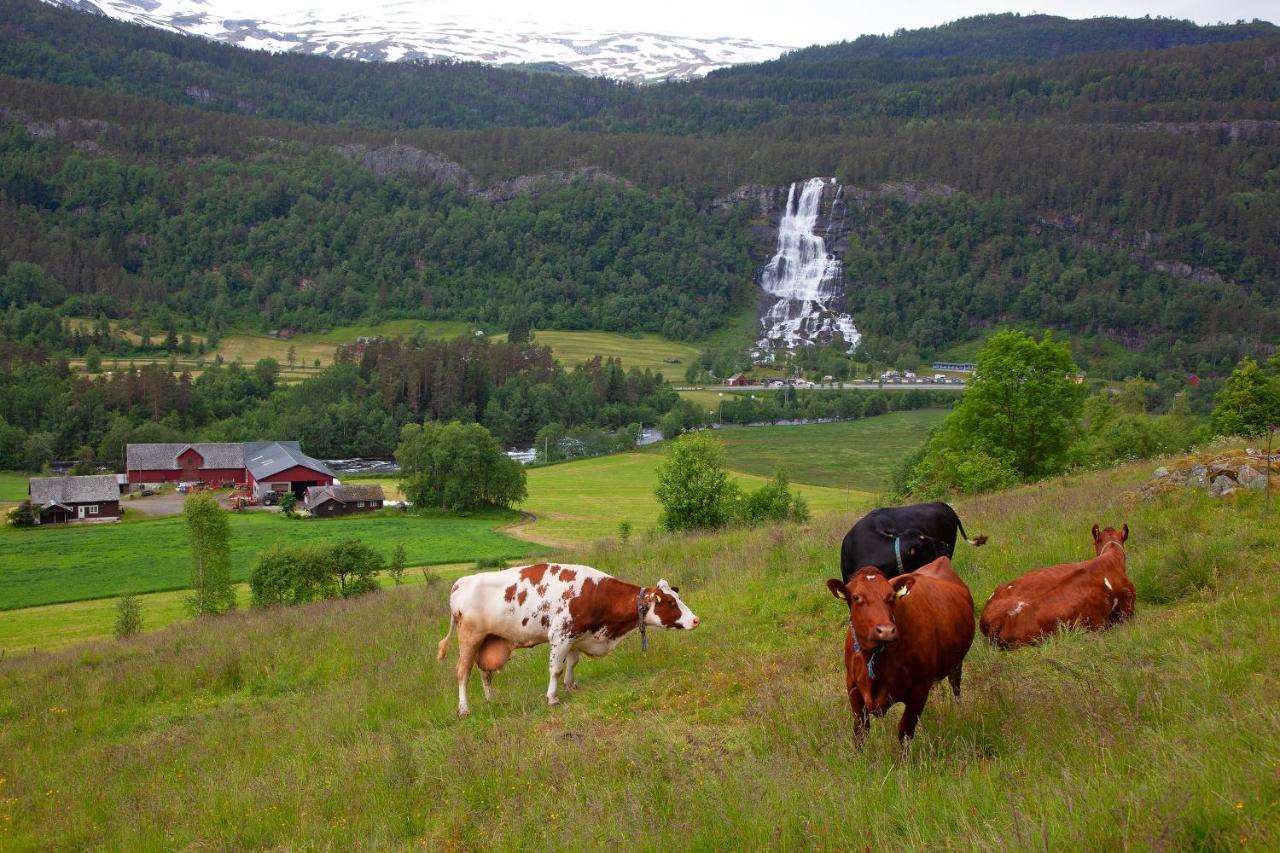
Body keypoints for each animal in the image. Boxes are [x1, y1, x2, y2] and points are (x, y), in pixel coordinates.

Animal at [437, 558, 701, 712]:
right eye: (670, 602)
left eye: (678, 597)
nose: (696, 620)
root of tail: (462, 581)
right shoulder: (561, 635)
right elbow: (555, 668)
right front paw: (552, 697)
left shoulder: (577, 636)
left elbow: (573, 662)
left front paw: (571, 685)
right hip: (470, 636)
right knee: (463, 671)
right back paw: (464, 708)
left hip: (488, 640)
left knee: (485, 672)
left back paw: (492, 700)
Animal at [824, 555, 972, 742]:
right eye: (856, 597)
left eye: (891, 596)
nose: (886, 630)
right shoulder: (852, 686)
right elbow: (860, 731)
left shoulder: (919, 690)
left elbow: (905, 732)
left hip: (956, 662)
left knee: (955, 685)